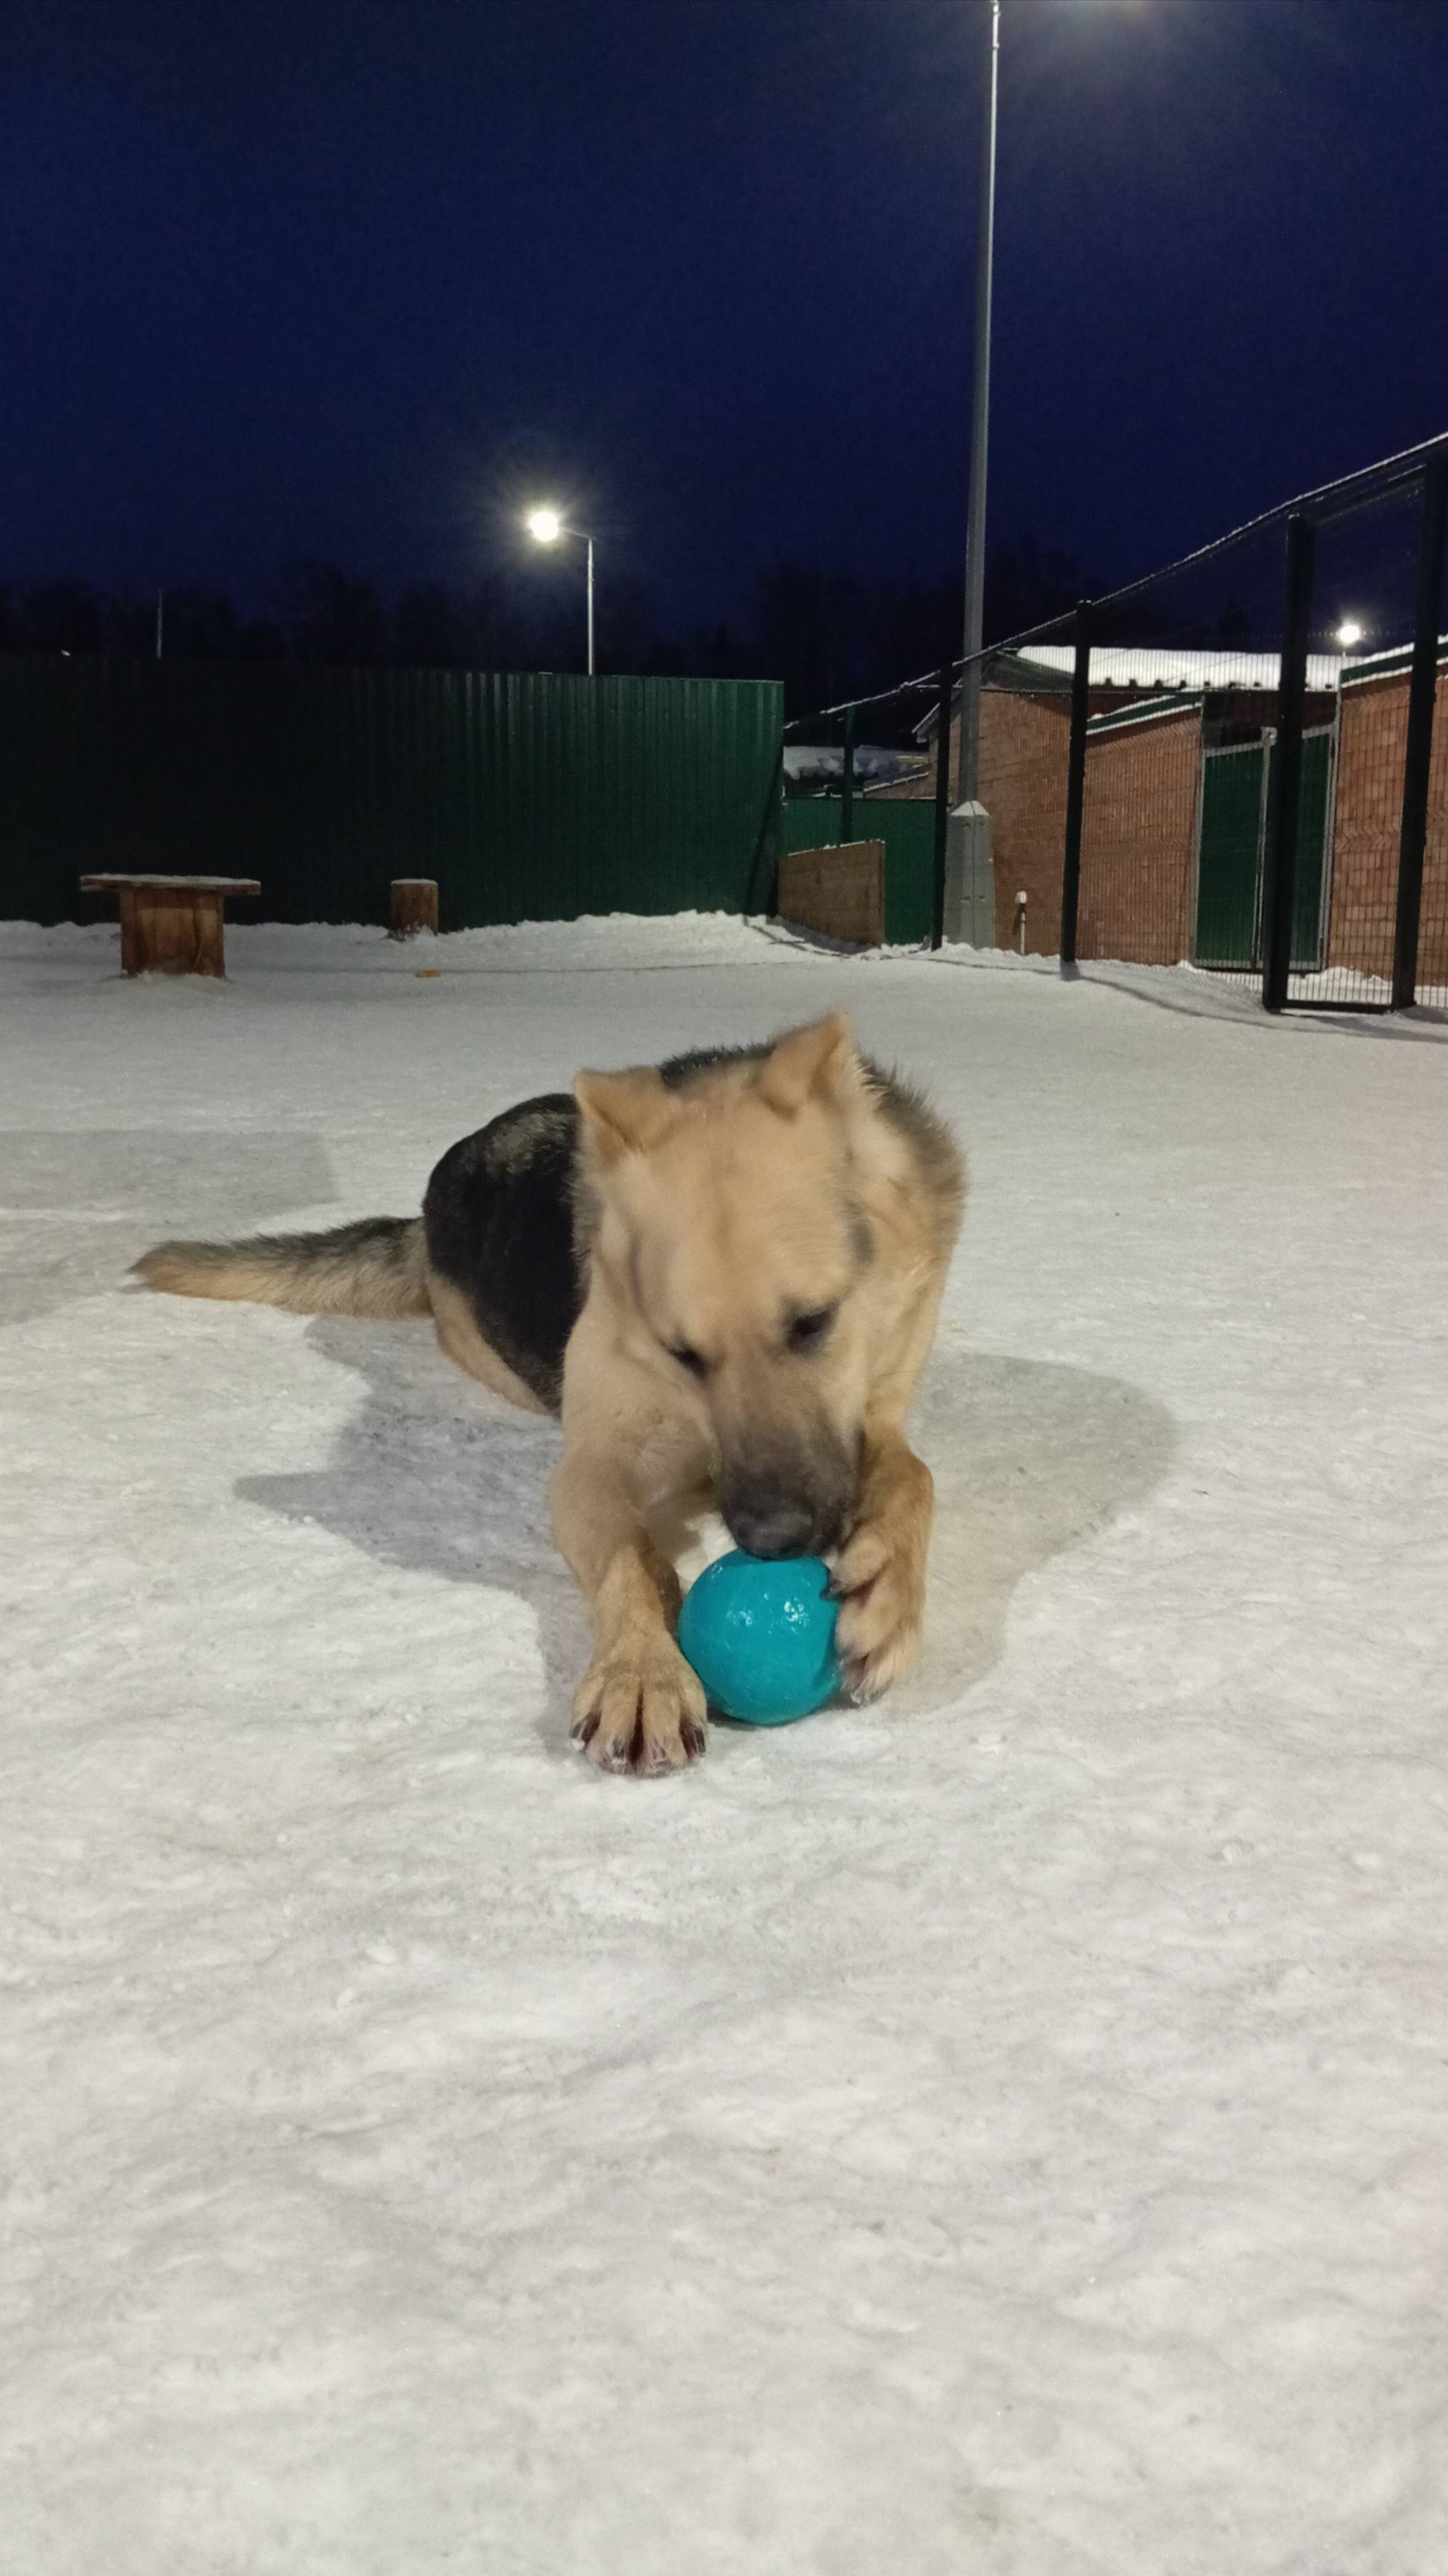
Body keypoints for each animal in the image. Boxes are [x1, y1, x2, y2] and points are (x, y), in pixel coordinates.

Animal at [135, 1015, 963, 1782]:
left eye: (814, 1322)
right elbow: (630, 1559)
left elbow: (914, 1475)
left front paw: (888, 1586)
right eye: (681, 1353)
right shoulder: (590, 1467)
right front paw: (642, 1669)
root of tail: (435, 1194)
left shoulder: (871, 1411)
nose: (771, 1542)